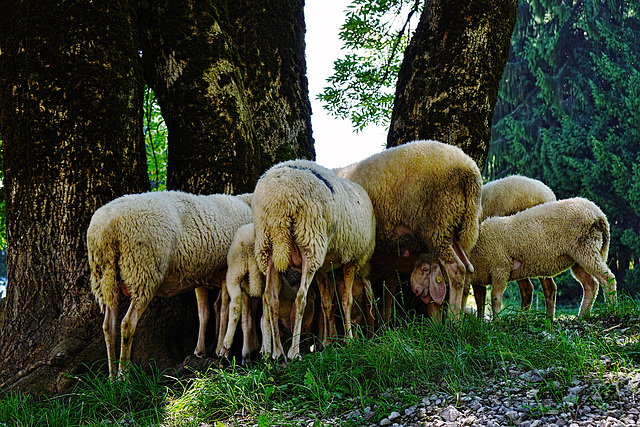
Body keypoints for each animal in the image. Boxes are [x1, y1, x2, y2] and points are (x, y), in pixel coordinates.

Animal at [86, 190, 251, 378]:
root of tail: (105, 229)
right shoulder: (225, 271)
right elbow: (223, 310)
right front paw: (218, 350)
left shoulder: (200, 275)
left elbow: (204, 313)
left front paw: (200, 351)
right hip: (143, 271)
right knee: (127, 324)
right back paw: (124, 375)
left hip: (105, 277)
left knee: (108, 326)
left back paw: (112, 377)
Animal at [252, 159, 378, 360]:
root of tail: (279, 200)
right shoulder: (352, 260)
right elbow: (346, 300)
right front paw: (349, 340)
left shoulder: (324, 268)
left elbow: (327, 303)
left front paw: (327, 343)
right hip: (310, 243)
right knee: (300, 298)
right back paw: (293, 352)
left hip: (267, 245)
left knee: (270, 297)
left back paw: (277, 352)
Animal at [336, 142, 480, 320]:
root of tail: (469, 169)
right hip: (451, 227)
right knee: (468, 268)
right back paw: (461, 318)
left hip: (436, 224)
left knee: (457, 270)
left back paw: (453, 320)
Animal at [468, 197, 616, 318]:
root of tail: (598, 213)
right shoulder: (478, 279)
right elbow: (479, 302)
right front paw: (479, 323)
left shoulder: (500, 268)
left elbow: (495, 298)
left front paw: (496, 321)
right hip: (578, 258)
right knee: (590, 285)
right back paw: (582, 315)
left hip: (586, 248)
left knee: (607, 278)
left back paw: (611, 309)